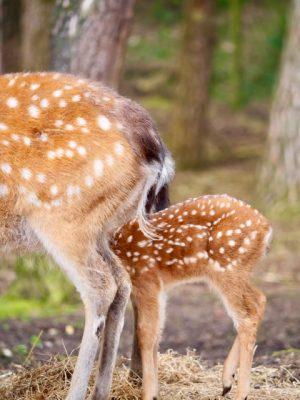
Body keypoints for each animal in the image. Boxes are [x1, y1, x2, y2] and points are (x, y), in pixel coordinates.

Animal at [0, 72, 173, 400]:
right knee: (122, 280)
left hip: (64, 218)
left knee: (101, 287)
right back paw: (102, 390)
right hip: (102, 224)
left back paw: (77, 392)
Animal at [113, 195, 272, 400]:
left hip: (227, 268)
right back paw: (227, 382)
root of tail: (266, 227)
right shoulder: (157, 288)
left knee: (247, 315)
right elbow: (157, 331)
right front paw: (155, 391)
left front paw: (148, 394)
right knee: (260, 300)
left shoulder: (145, 280)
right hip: (236, 271)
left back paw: (239, 392)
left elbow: (145, 333)